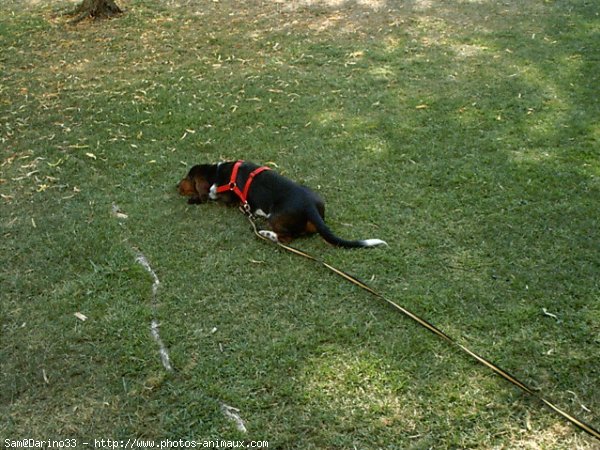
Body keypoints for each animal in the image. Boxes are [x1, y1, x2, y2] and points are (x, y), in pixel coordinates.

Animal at [176, 160, 386, 248]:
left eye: (187, 178)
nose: (176, 186)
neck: (217, 172)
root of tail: (309, 206)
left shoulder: (225, 199)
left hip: (274, 216)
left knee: (287, 238)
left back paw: (267, 234)